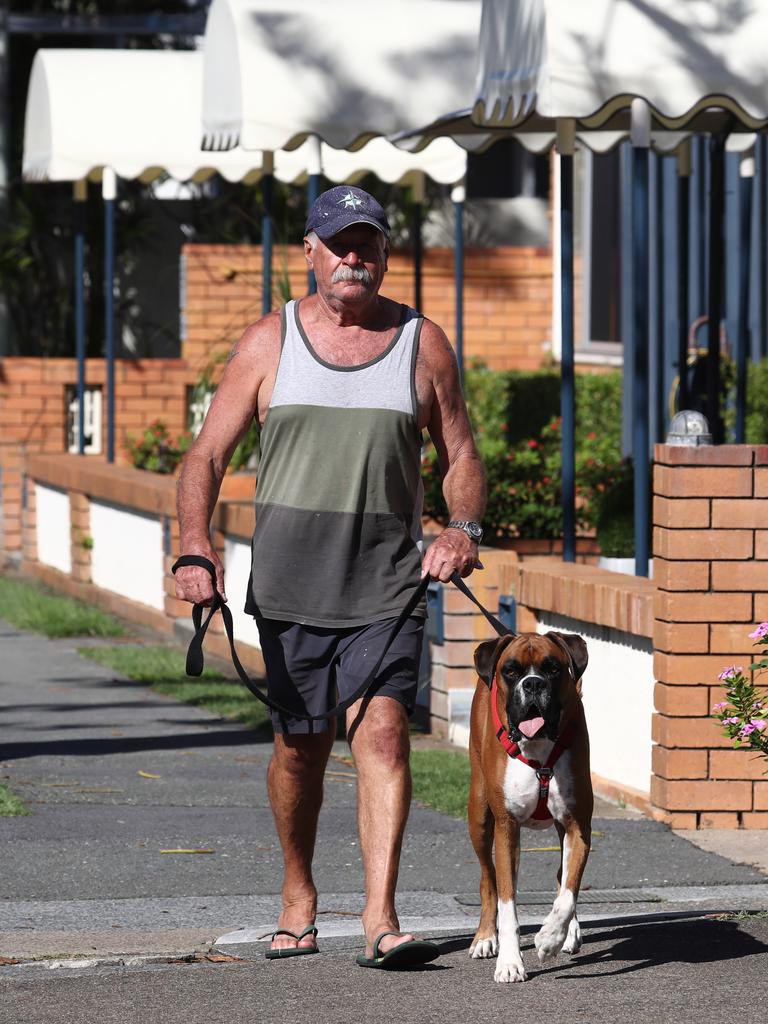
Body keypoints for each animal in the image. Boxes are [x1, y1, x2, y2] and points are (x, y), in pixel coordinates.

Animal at [466, 630, 593, 983]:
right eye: (511, 671)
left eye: (553, 668)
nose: (533, 684)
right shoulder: (506, 829)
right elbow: (507, 901)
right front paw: (510, 962)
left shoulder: (579, 828)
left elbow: (568, 891)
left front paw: (550, 937)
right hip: (480, 817)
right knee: (488, 879)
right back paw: (485, 938)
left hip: (561, 828)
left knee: (563, 876)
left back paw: (568, 933)